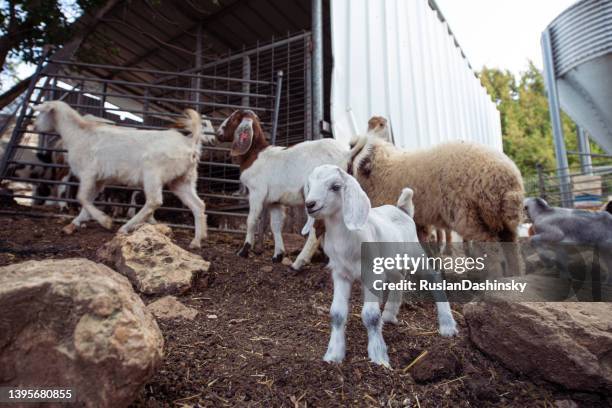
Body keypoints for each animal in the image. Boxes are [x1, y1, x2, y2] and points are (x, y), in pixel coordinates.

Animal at [32, 102, 207, 249]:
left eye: (41, 112)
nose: (34, 126)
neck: (78, 134)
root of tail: (190, 144)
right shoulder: (99, 180)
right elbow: (88, 199)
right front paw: (73, 224)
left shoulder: (89, 173)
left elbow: (81, 197)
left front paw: (105, 221)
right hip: (183, 179)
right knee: (198, 205)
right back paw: (197, 240)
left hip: (153, 173)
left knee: (154, 201)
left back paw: (125, 227)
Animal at [302, 165, 460, 366]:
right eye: (309, 185)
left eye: (336, 186)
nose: (310, 204)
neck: (346, 238)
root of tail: (403, 210)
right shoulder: (340, 273)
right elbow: (337, 313)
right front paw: (334, 355)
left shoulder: (371, 274)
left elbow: (370, 315)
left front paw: (379, 356)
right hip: (391, 262)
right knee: (398, 279)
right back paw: (389, 315)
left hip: (414, 254)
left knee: (434, 277)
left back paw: (447, 326)